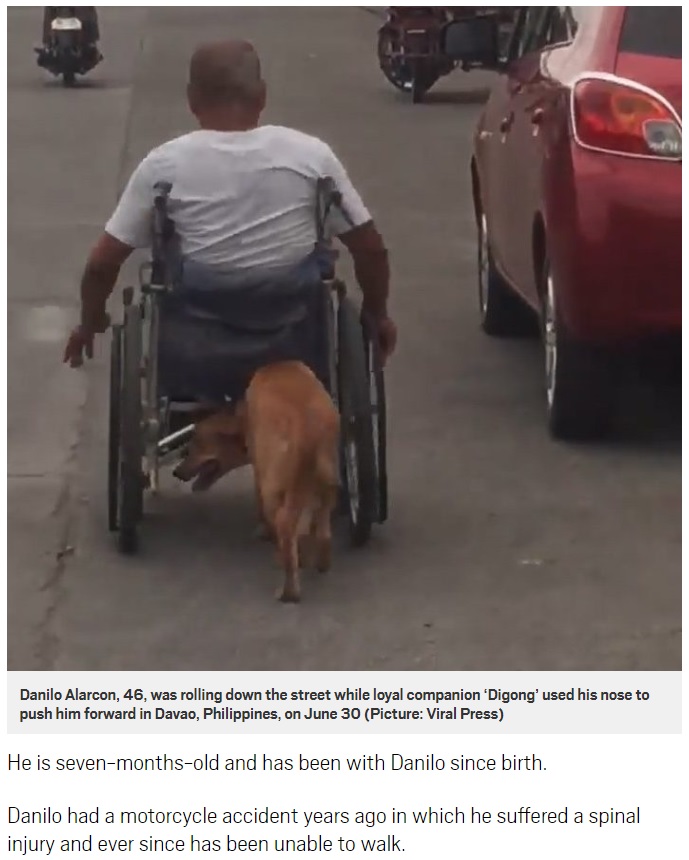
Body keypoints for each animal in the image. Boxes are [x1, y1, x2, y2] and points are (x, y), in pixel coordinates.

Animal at [173, 362, 340, 604]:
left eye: (196, 444)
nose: (176, 472)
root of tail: (306, 427)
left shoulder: (260, 472)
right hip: (328, 486)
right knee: (323, 532)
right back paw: (319, 562)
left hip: (274, 489)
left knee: (286, 529)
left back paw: (288, 586)